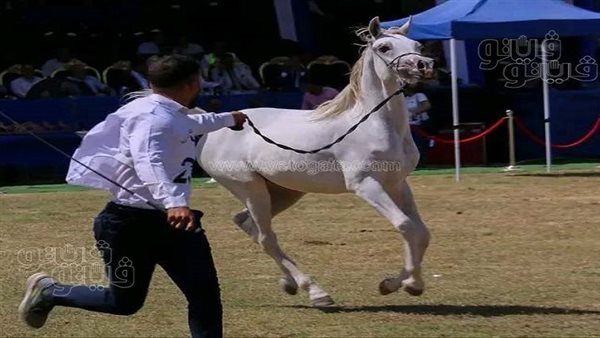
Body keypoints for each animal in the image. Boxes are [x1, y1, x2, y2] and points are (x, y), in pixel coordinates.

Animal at [199, 16, 434, 306]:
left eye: (418, 45)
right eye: (384, 47)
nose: (424, 66)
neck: (372, 125)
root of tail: (211, 126)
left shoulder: (397, 184)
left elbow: (420, 232)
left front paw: (407, 284)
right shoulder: (366, 185)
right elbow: (405, 226)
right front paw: (397, 284)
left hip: (283, 192)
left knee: (247, 224)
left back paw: (290, 283)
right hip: (250, 189)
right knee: (266, 237)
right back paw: (316, 292)